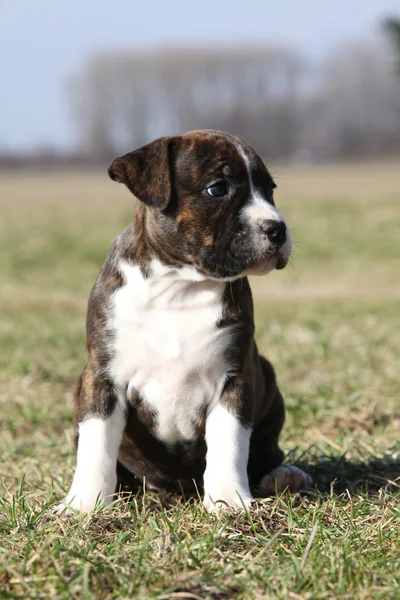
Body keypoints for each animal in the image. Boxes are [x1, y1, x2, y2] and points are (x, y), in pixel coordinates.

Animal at [55, 129, 312, 512]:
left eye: (270, 190)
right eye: (217, 189)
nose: (277, 228)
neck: (180, 286)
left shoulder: (236, 378)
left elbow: (229, 443)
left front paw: (228, 500)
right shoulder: (102, 378)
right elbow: (96, 445)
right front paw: (84, 505)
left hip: (266, 375)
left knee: (266, 450)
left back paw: (283, 476)